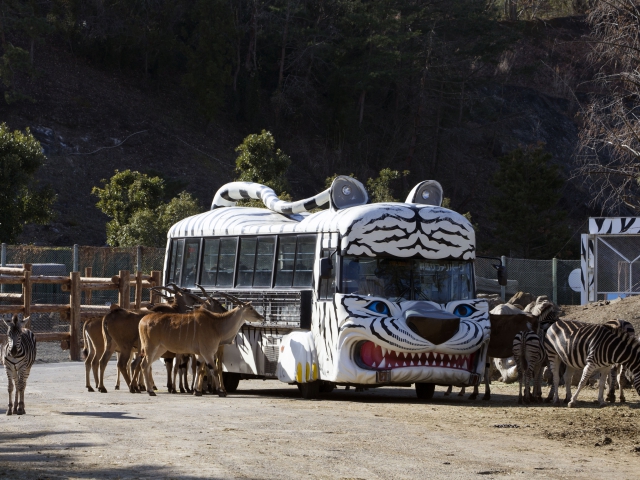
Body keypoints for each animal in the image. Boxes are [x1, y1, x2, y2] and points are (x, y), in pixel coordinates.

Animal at [136, 296, 264, 398]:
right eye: (251, 308)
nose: (261, 317)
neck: (216, 326)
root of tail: (142, 320)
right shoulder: (208, 353)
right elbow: (214, 369)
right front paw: (220, 392)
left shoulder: (200, 354)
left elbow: (198, 369)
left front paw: (196, 391)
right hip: (150, 347)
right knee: (144, 364)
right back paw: (150, 391)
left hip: (160, 349)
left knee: (146, 365)